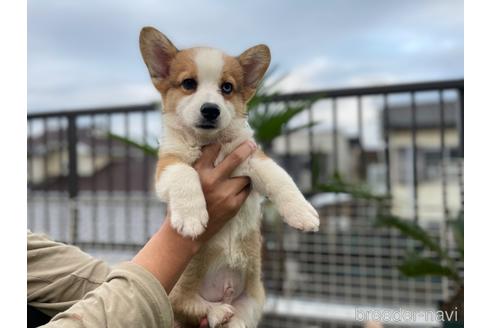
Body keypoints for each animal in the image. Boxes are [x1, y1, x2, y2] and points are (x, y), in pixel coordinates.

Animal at [140, 26, 320, 328]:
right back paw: (215, 311)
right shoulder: (168, 164)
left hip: (253, 301)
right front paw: (191, 218)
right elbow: (185, 173)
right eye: (188, 84)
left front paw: (302, 213)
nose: (211, 110)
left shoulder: (252, 158)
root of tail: (224, 294)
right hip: (172, 295)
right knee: (189, 304)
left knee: (238, 321)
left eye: (227, 88)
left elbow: (280, 178)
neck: (208, 142)